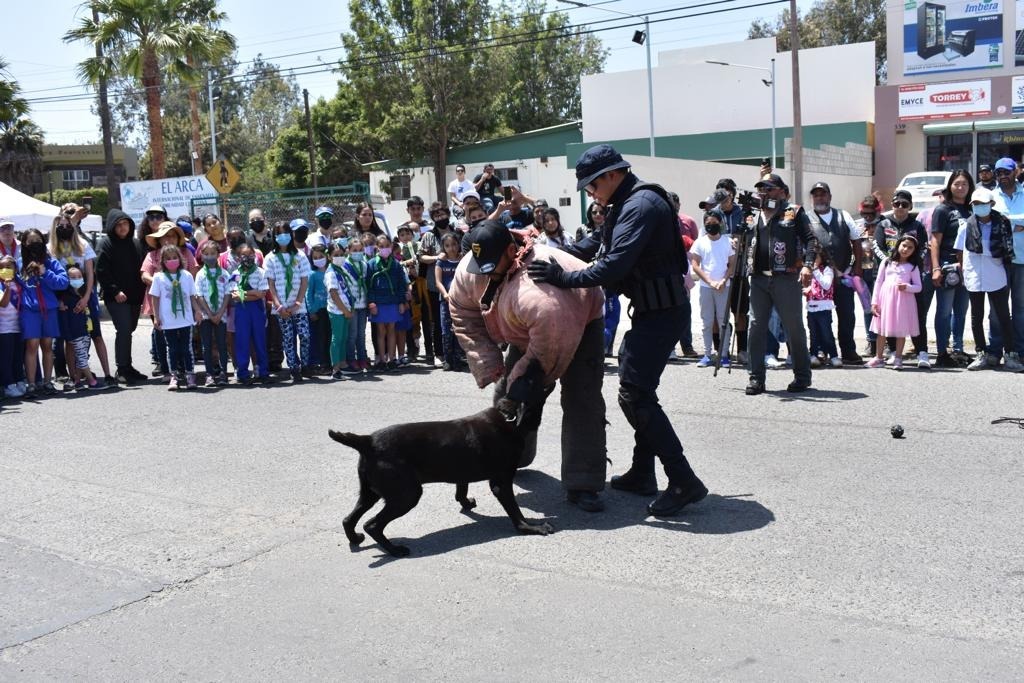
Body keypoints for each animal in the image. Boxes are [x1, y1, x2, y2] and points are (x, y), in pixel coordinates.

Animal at [327, 397, 552, 557]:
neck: (508, 420)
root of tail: (367, 441)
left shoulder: (463, 470)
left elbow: (461, 488)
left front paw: (466, 503)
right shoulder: (501, 481)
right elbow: (515, 512)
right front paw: (531, 527)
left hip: (371, 491)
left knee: (348, 519)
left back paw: (355, 539)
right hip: (407, 494)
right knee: (372, 524)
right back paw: (395, 550)